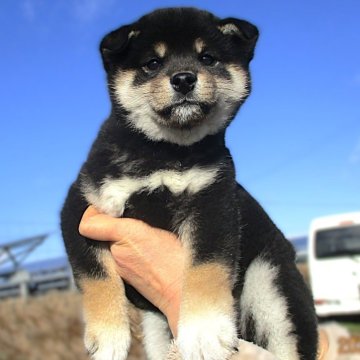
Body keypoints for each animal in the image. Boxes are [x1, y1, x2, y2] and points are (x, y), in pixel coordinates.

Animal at [62, 6, 318, 360]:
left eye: (207, 57)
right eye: (152, 63)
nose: (184, 78)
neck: (166, 151)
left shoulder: (213, 200)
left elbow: (206, 267)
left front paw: (204, 331)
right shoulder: (82, 206)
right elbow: (95, 274)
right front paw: (109, 336)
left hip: (271, 281)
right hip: (157, 330)